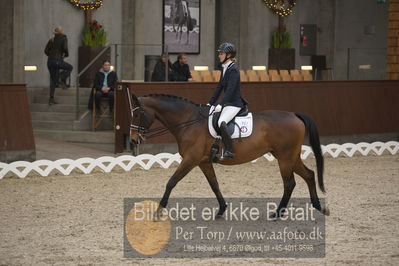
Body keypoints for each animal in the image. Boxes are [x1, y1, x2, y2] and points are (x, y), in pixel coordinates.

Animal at [129, 93, 332, 218]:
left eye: (137, 115)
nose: (132, 140)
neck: (188, 122)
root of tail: (294, 114)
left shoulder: (190, 160)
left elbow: (171, 181)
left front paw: (158, 211)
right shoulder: (203, 162)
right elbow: (214, 184)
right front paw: (221, 210)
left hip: (284, 158)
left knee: (289, 183)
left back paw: (277, 213)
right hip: (289, 156)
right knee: (309, 175)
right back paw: (318, 207)